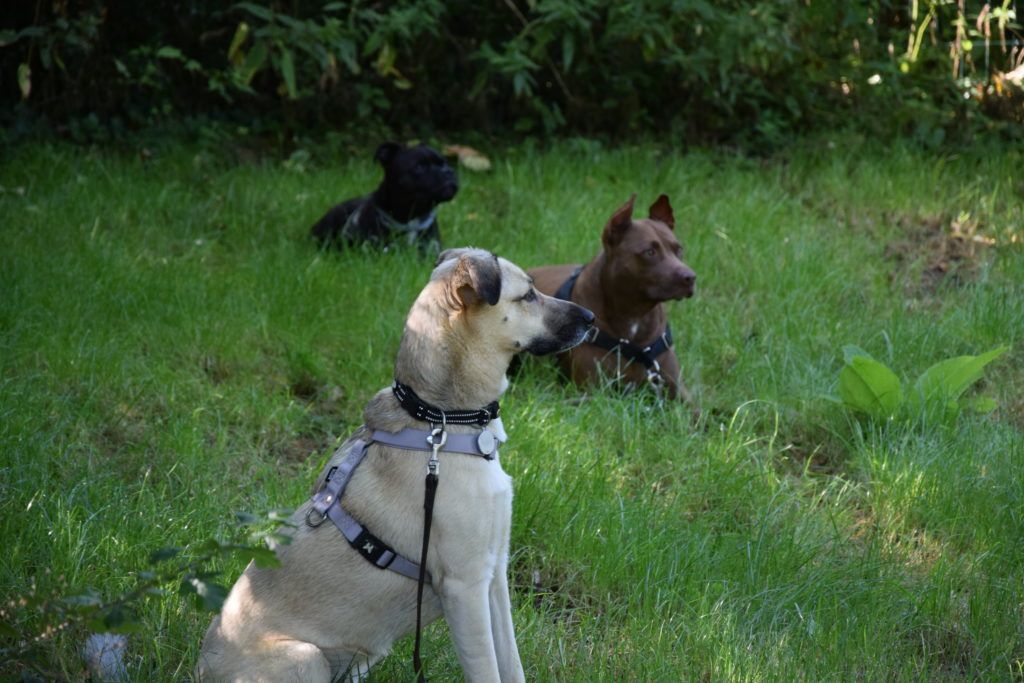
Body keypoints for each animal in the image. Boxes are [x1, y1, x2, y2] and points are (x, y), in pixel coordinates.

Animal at [197, 248, 593, 679]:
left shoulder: (494, 578)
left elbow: (511, 663)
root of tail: (198, 669)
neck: (441, 420)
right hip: (306, 657)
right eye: (529, 295)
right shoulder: (465, 585)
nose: (592, 319)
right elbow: (486, 669)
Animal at [528, 193, 696, 401]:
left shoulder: (678, 390)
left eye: (679, 249)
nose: (690, 277)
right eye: (649, 252)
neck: (635, 314)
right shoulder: (590, 391)